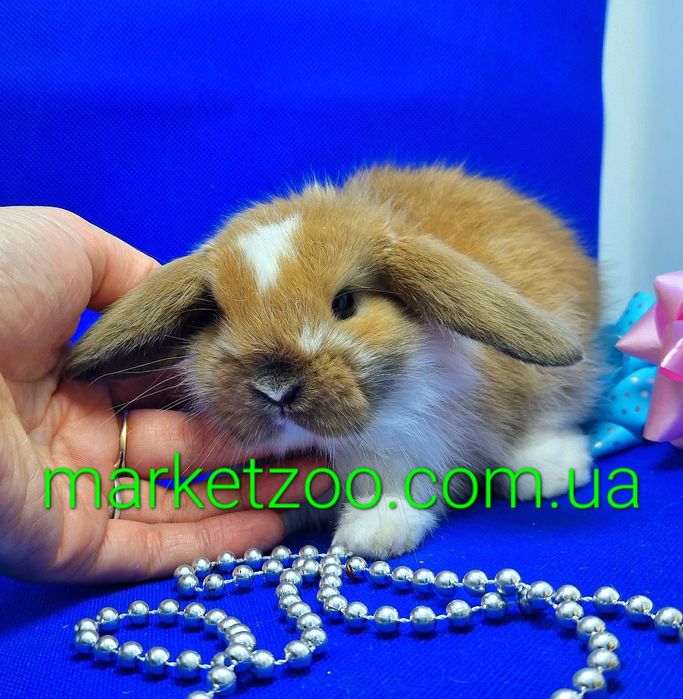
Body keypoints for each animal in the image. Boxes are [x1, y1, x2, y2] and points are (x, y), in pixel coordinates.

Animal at [66, 164, 600, 558]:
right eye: (217, 315)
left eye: (345, 303)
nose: (275, 387)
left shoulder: (413, 438)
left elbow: (398, 484)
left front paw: (375, 534)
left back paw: (548, 470)